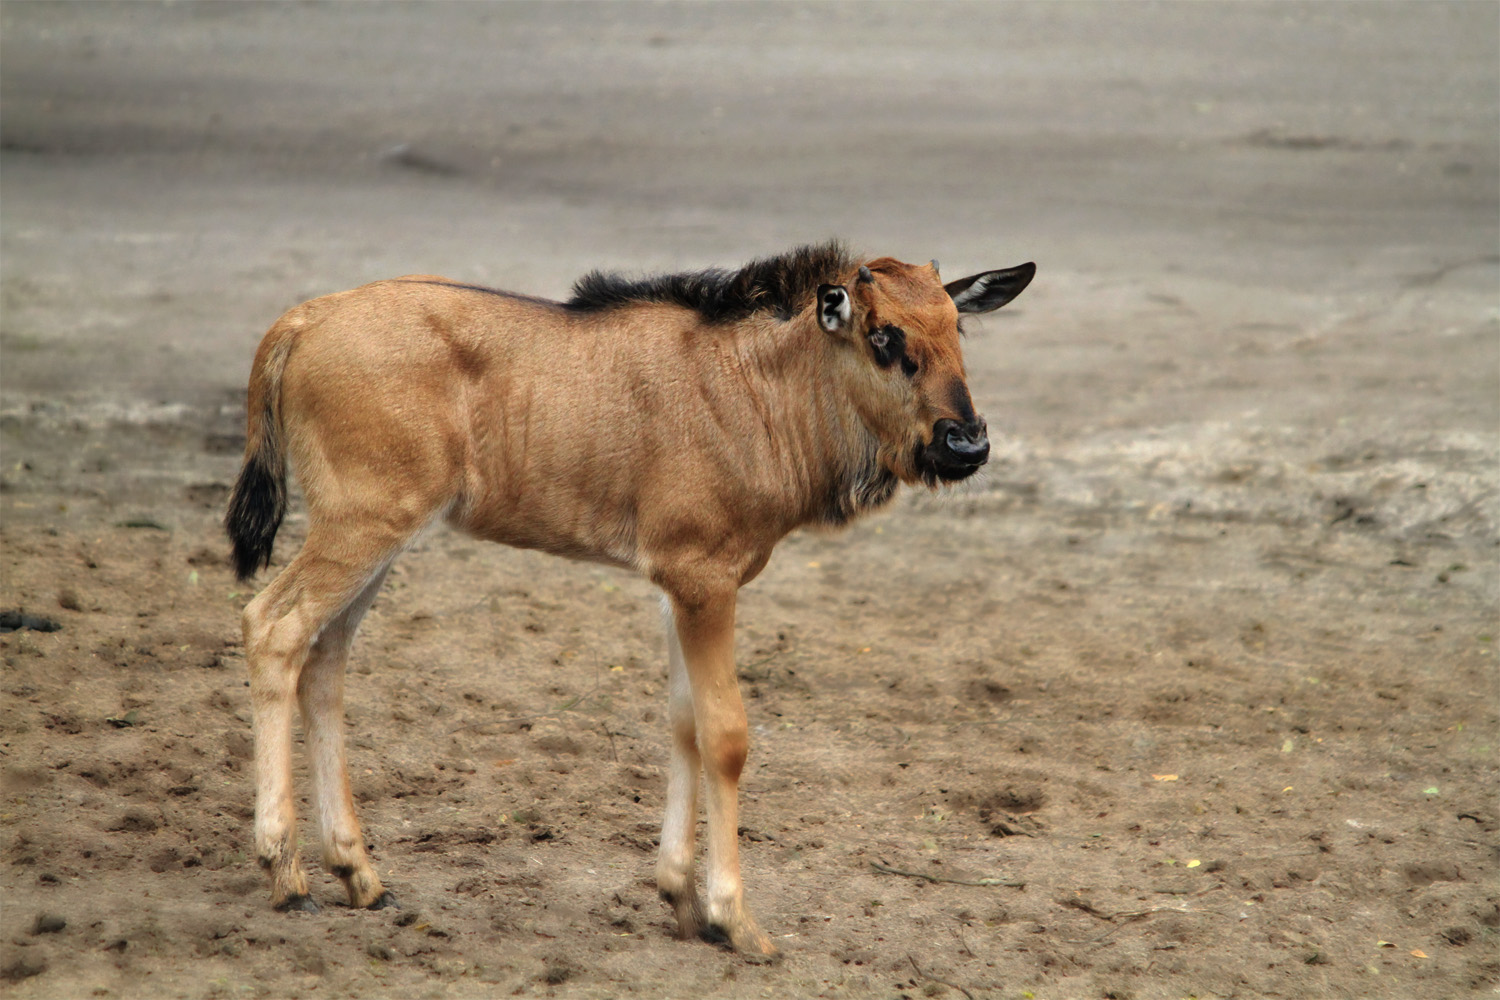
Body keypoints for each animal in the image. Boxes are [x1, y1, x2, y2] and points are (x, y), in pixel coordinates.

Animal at [228, 239, 1038, 953]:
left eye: (957, 327)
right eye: (883, 335)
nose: (966, 443)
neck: (757, 387)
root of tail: (303, 318)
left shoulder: (678, 584)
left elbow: (683, 724)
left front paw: (681, 898)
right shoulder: (705, 580)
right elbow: (726, 736)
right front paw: (734, 918)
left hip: (382, 537)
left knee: (326, 658)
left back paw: (357, 872)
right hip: (361, 523)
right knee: (273, 626)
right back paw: (286, 872)